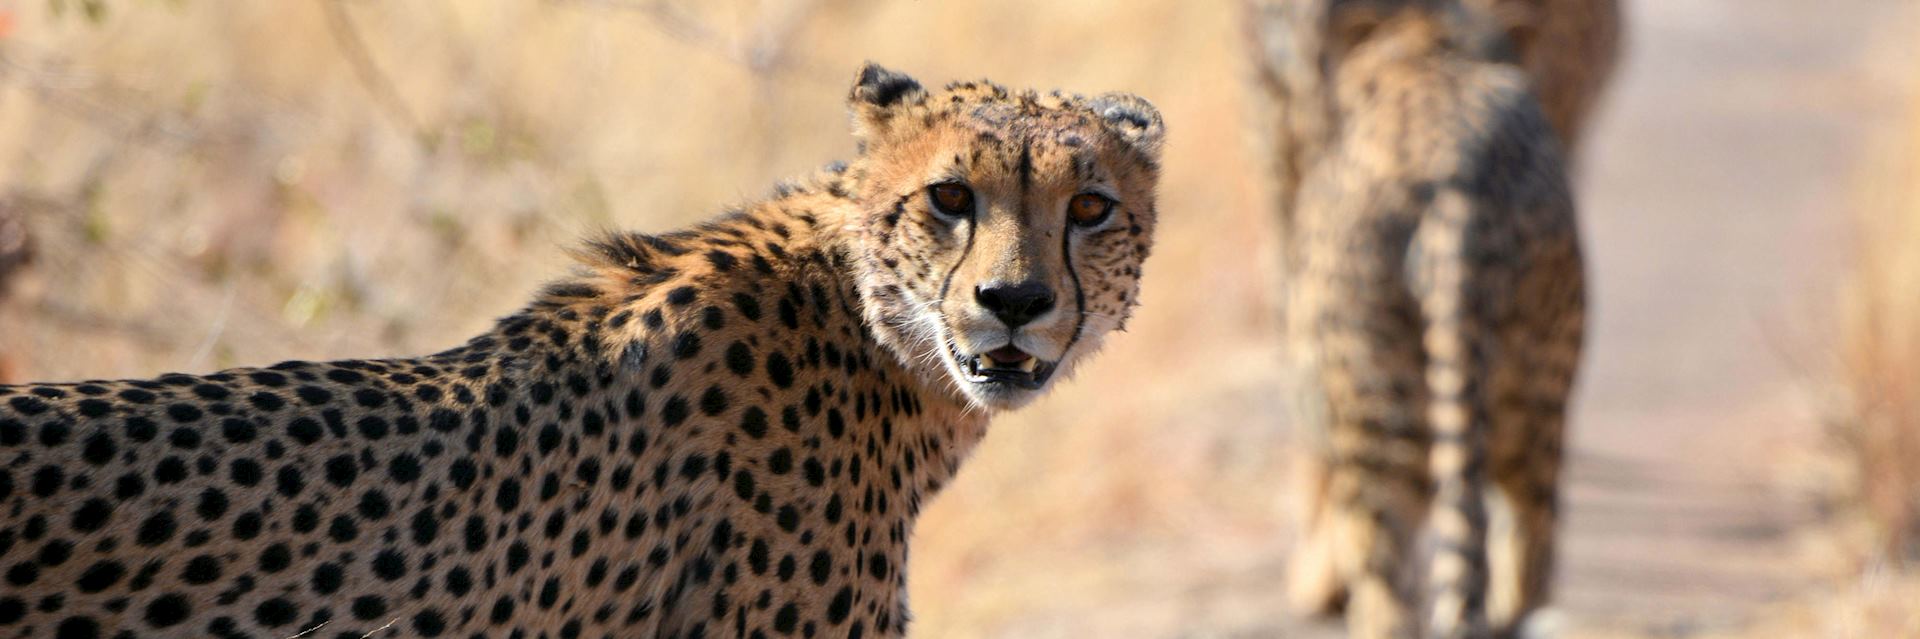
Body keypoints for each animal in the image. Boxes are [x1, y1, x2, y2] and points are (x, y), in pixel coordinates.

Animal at [1244, 2, 1589, 633]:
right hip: (1532, 402)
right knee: (1528, 543)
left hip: (1378, 417)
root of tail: (1456, 194)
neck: (1427, 46)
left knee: (1387, 586)